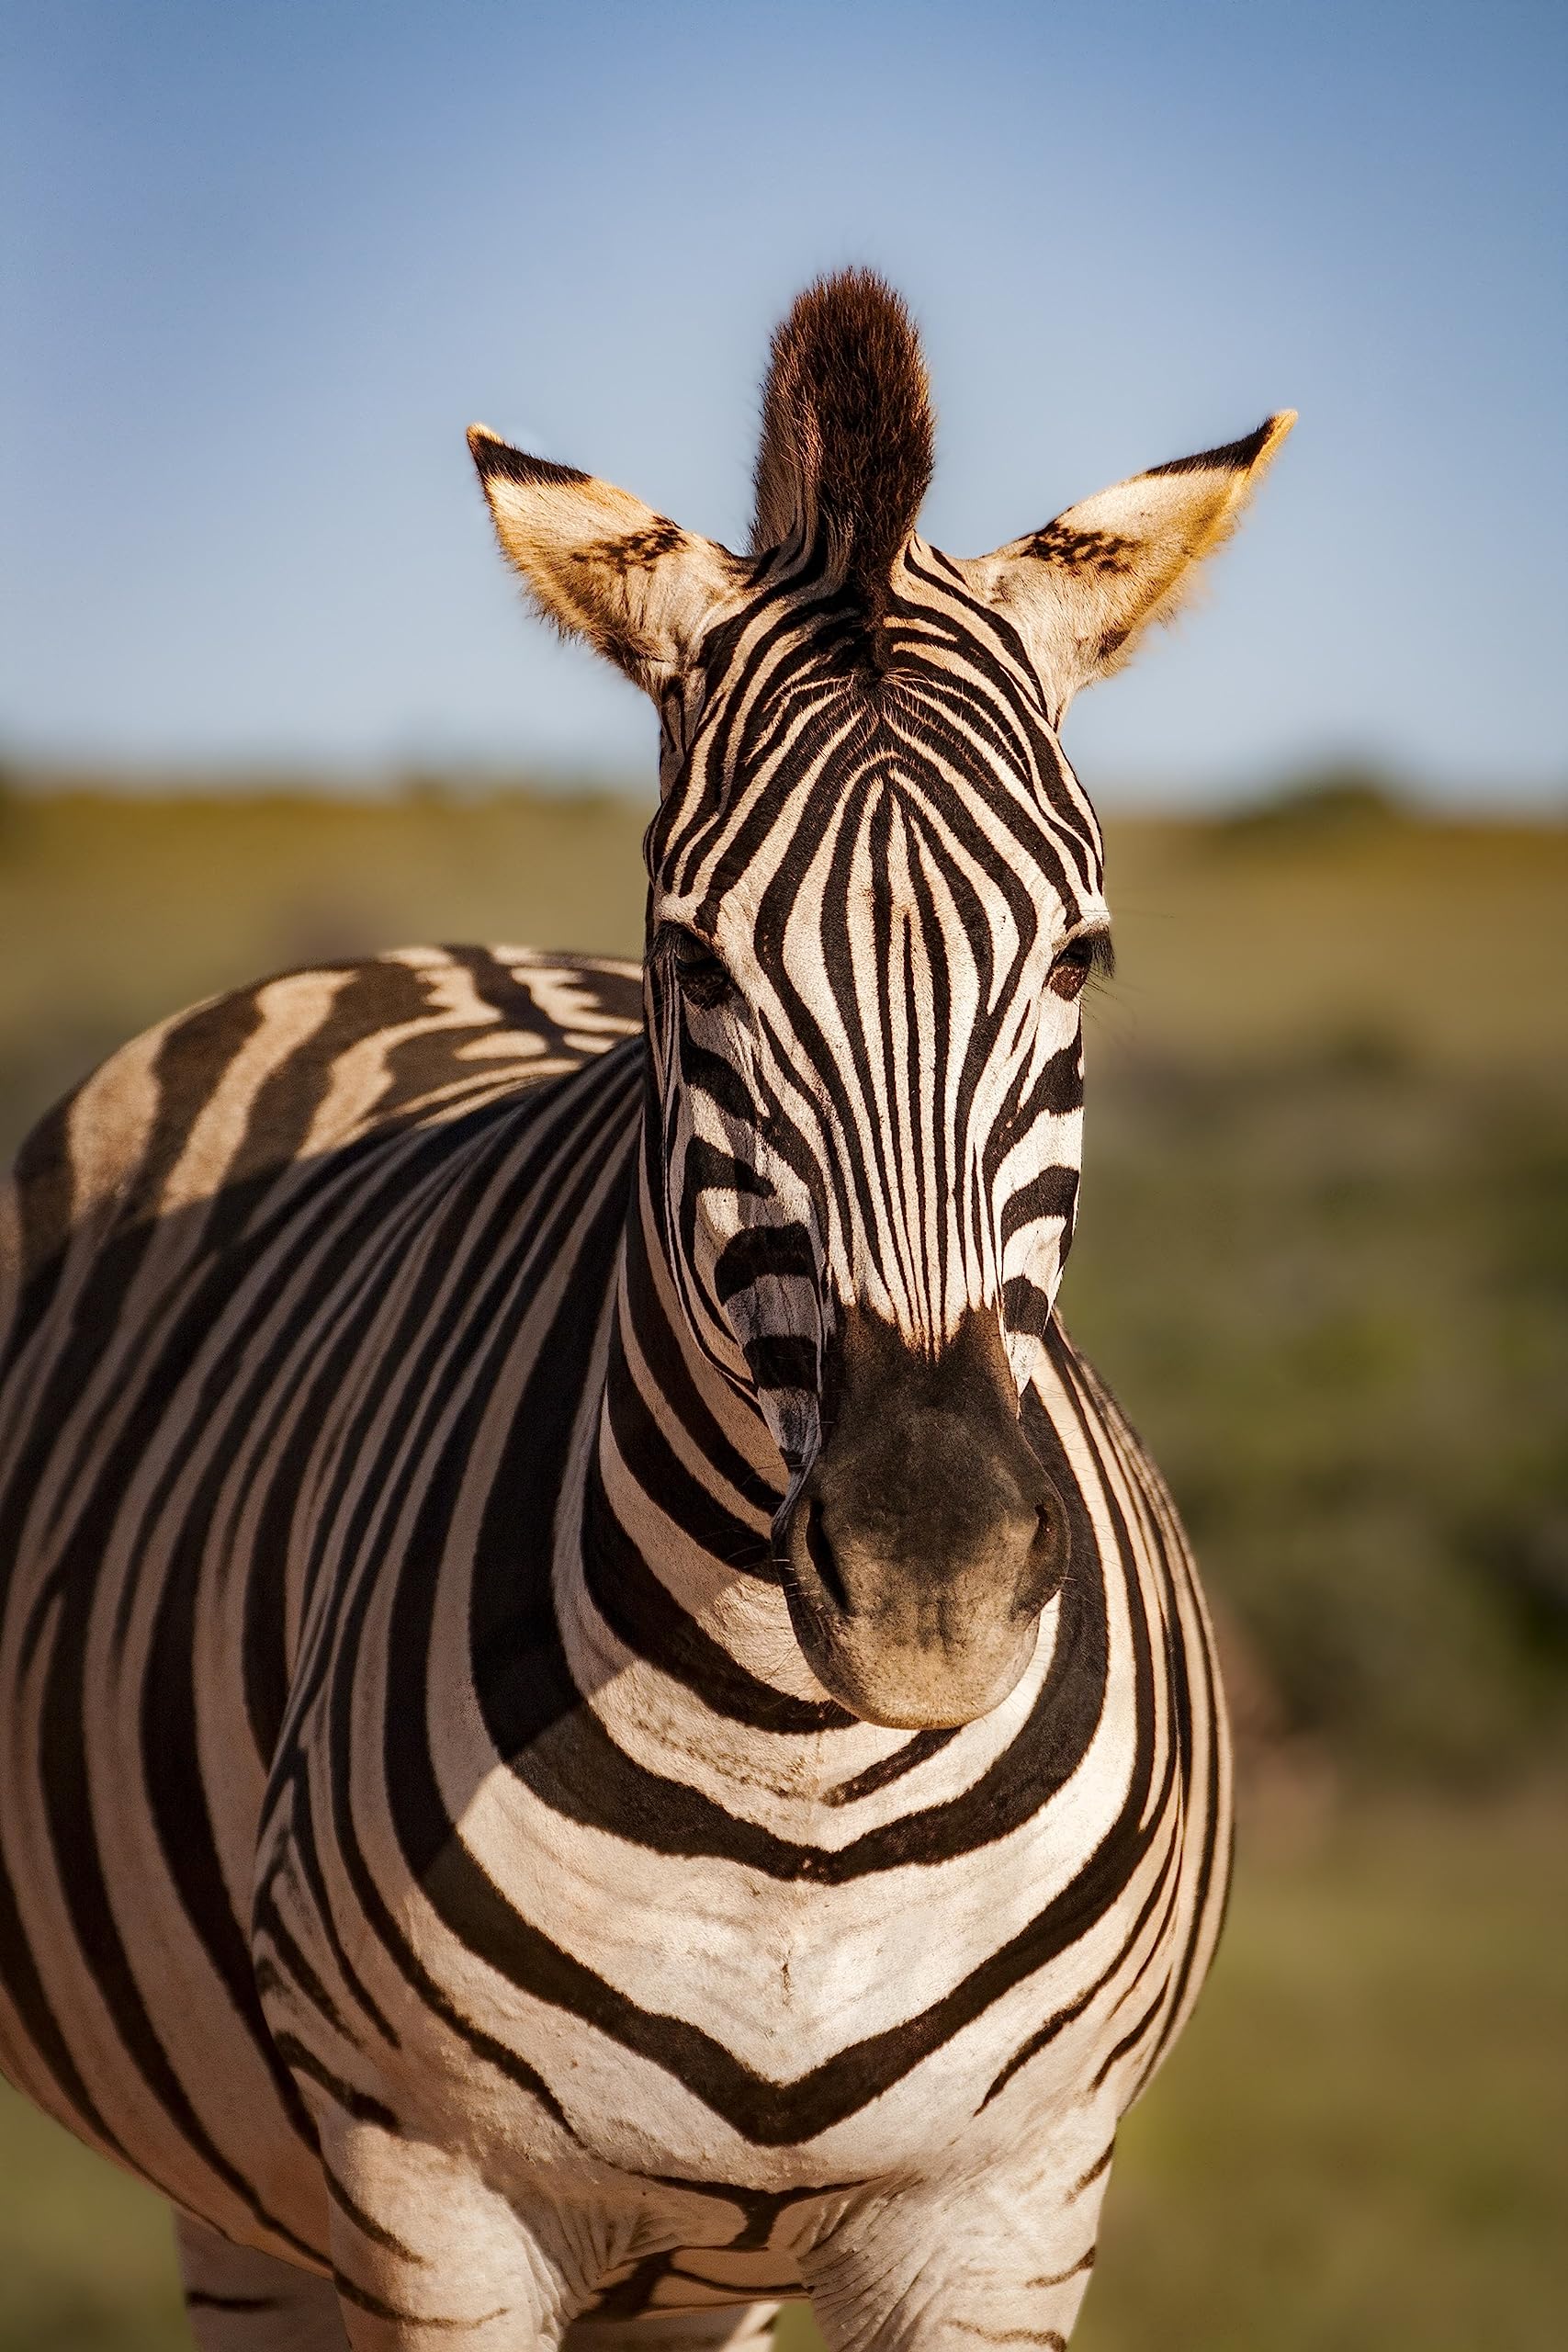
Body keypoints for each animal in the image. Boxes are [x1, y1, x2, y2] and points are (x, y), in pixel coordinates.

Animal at [0, 271, 1291, 2351]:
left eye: (1080, 955)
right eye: (694, 961)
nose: (928, 1583)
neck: (799, 1784)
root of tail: (425, 951)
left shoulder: (1008, 2208)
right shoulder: (430, 2199)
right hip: (251, 2203)